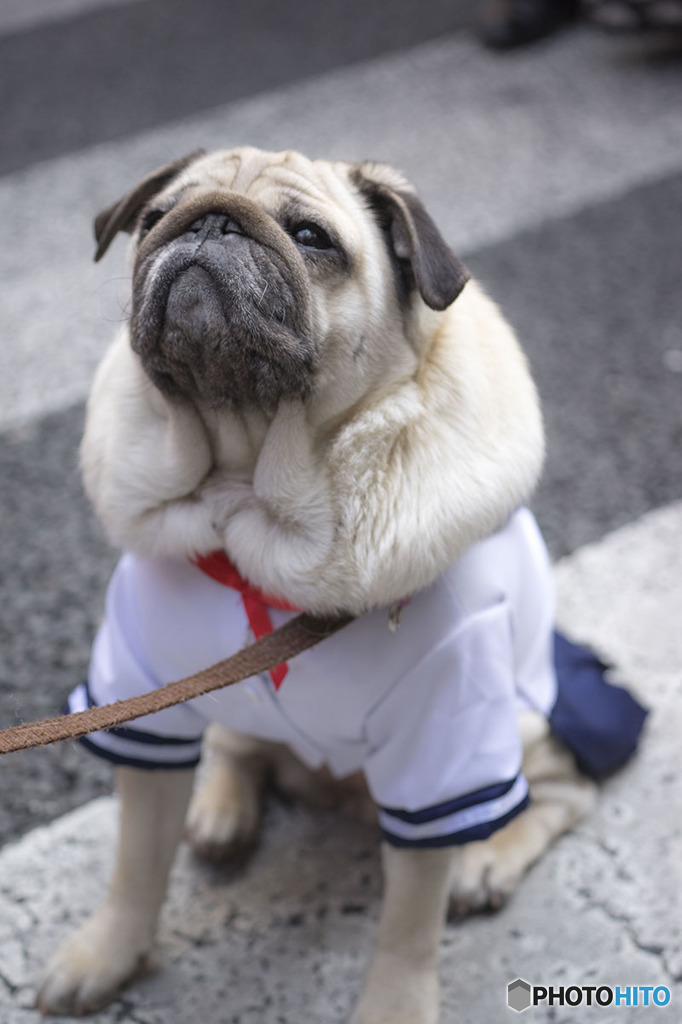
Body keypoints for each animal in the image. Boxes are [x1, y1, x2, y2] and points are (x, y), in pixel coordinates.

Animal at [33, 146, 638, 1024]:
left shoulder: (441, 743)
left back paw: (487, 861)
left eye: (311, 237)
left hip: (523, 723)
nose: (210, 221)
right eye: (154, 218)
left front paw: (395, 1002)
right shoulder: (144, 694)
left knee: (556, 793)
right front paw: (104, 954)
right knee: (238, 744)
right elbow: (137, 863)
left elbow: (410, 922)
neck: (247, 495)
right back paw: (220, 810)